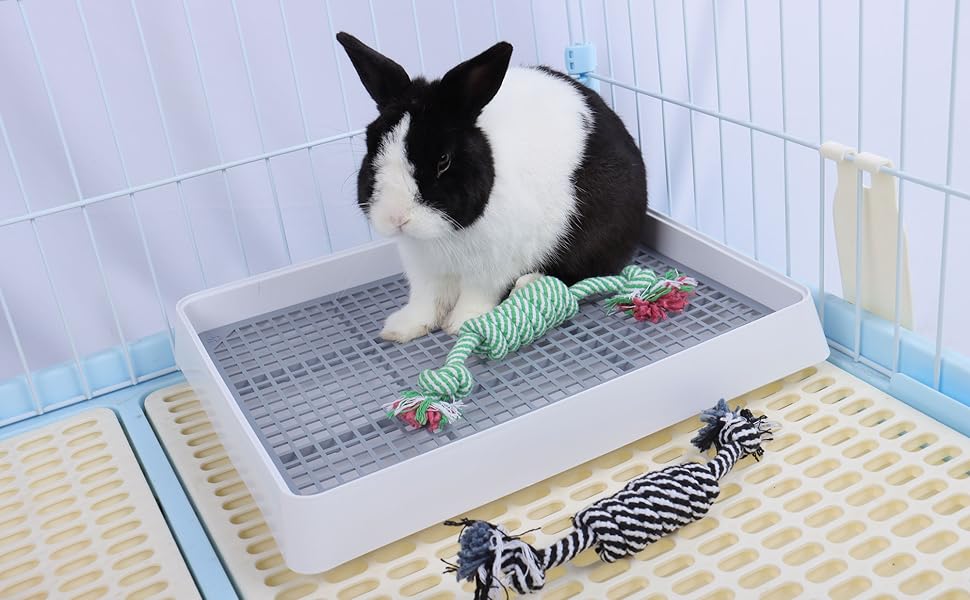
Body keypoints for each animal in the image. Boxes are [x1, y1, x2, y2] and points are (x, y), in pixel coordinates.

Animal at [336, 33, 646, 342]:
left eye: (443, 161)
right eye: (371, 145)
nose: (396, 217)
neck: (442, 237)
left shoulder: (491, 266)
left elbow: (476, 294)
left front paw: (462, 323)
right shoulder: (424, 270)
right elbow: (426, 300)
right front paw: (401, 329)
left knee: (584, 271)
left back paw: (527, 284)